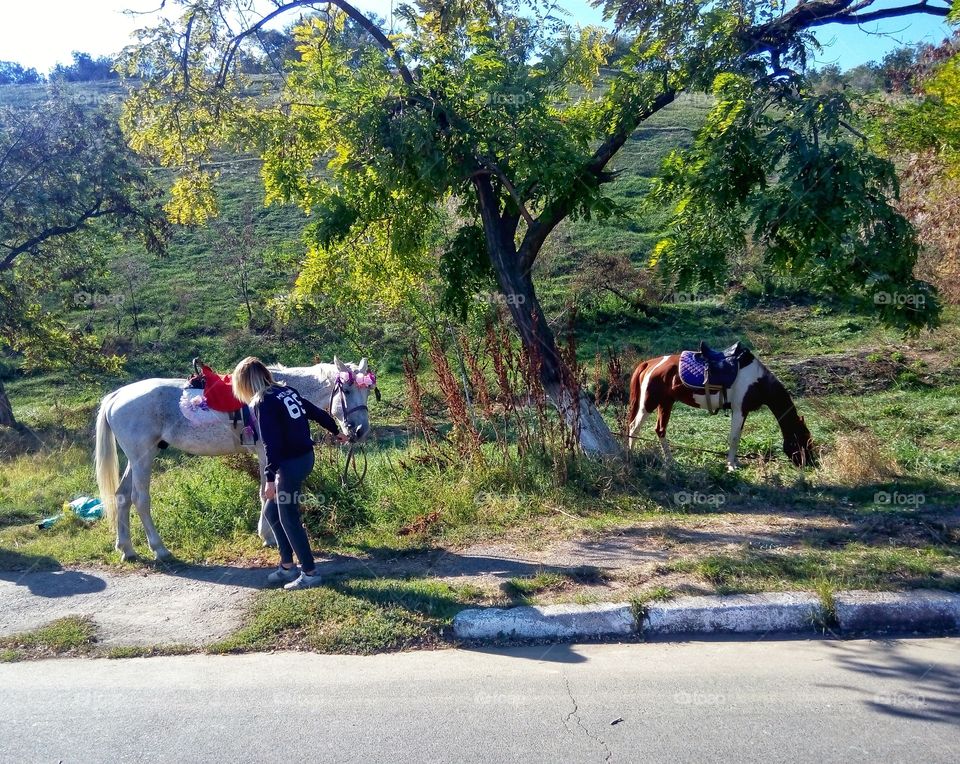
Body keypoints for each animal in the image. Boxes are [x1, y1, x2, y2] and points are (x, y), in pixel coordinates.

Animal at [95, 357, 374, 561]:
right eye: (347, 389)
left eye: (368, 392)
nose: (360, 431)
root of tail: (116, 396)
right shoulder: (266, 453)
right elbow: (265, 492)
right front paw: (267, 535)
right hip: (142, 458)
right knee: (140, 499)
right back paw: (159, 549)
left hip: (139, 457)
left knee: (122, 496)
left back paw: (127, 549)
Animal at [626, 349, 815, 471]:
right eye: (804, 438)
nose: (810, 464)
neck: (758, 381)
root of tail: (650, 363)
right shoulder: (739, 410)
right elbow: (734, 438)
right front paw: (731, 466)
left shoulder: (742, 412)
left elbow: (736, 436)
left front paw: (735, 463)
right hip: (649, 404)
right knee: (634, 427)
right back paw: (630, 455)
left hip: (666, 403)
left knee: (660, 430)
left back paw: (670, 461)